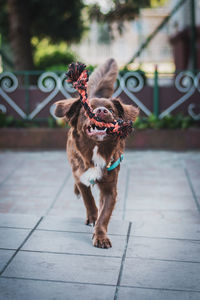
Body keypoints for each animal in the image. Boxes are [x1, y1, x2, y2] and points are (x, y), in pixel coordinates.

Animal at [55, 58, 139, 248]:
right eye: (89, 109)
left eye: (111, 109)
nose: (101, 111)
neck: (96, 148)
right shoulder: (80, 173)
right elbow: (88, 199)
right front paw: (92, 216)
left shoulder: (110, 187)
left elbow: (105, 214)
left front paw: (100, 236)